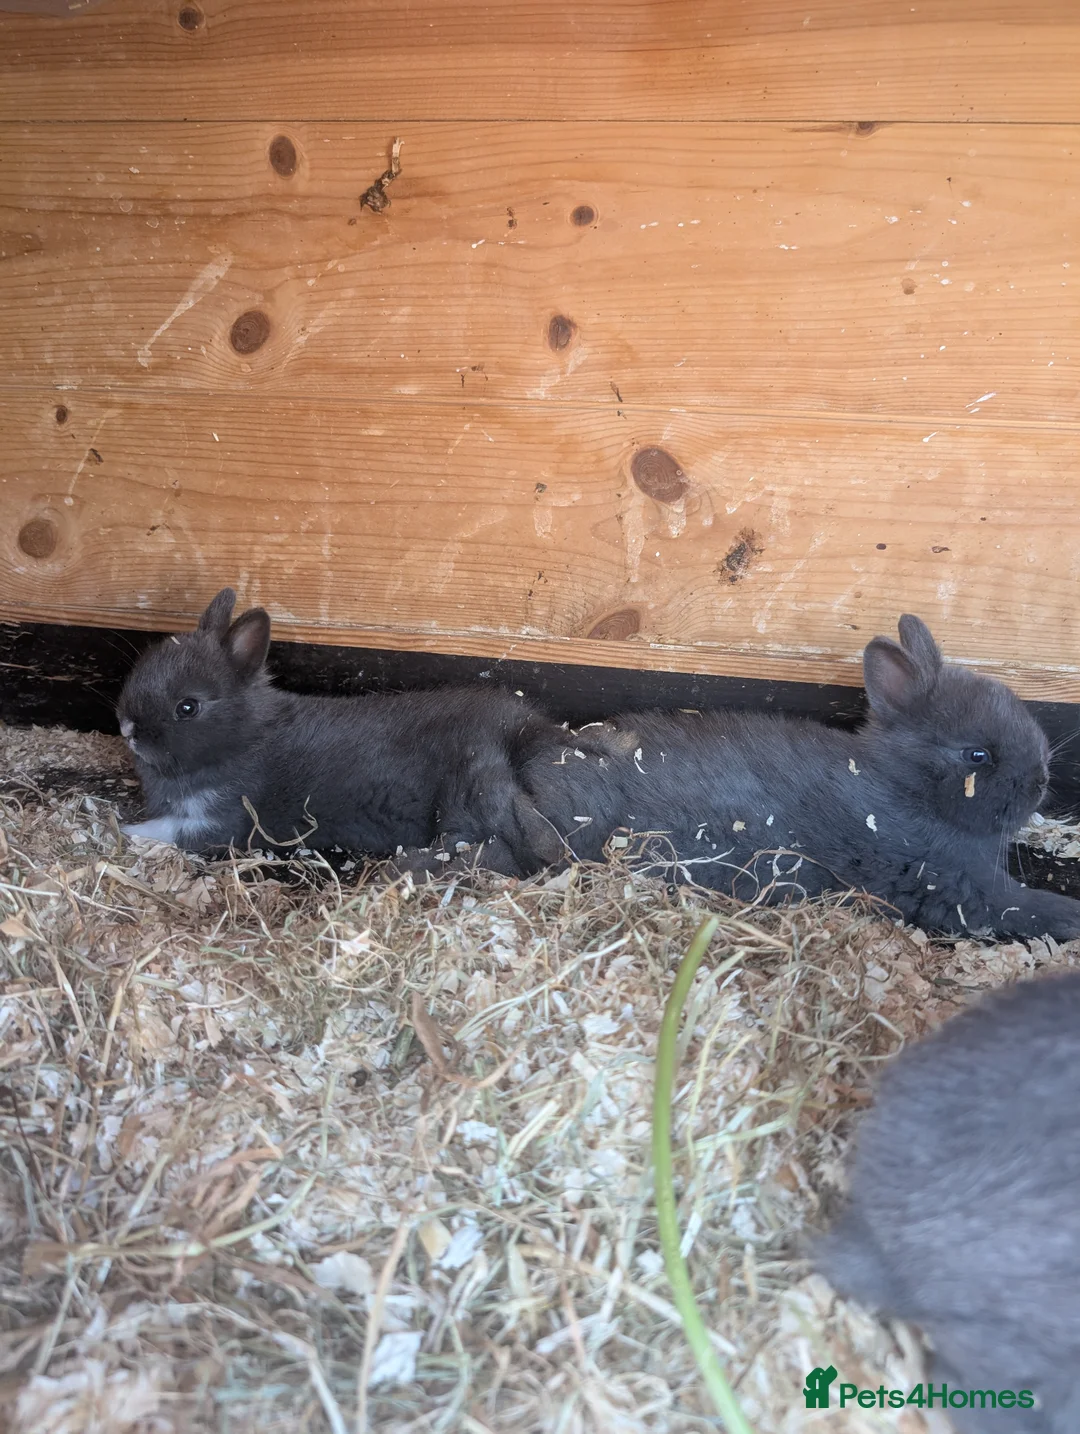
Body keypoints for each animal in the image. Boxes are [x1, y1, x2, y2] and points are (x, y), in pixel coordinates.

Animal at [116, 588, 564, 874]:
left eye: (187, 707)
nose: (126, 727)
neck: (241, 739)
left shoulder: (222, 819)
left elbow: (168, 831)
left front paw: (124, 830)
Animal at [518, 614, 1080, 939]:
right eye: (977, 755)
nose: (1040, 781)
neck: (907, 789)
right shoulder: (957, 885)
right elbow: (1018, 907)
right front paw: (1070, 915)